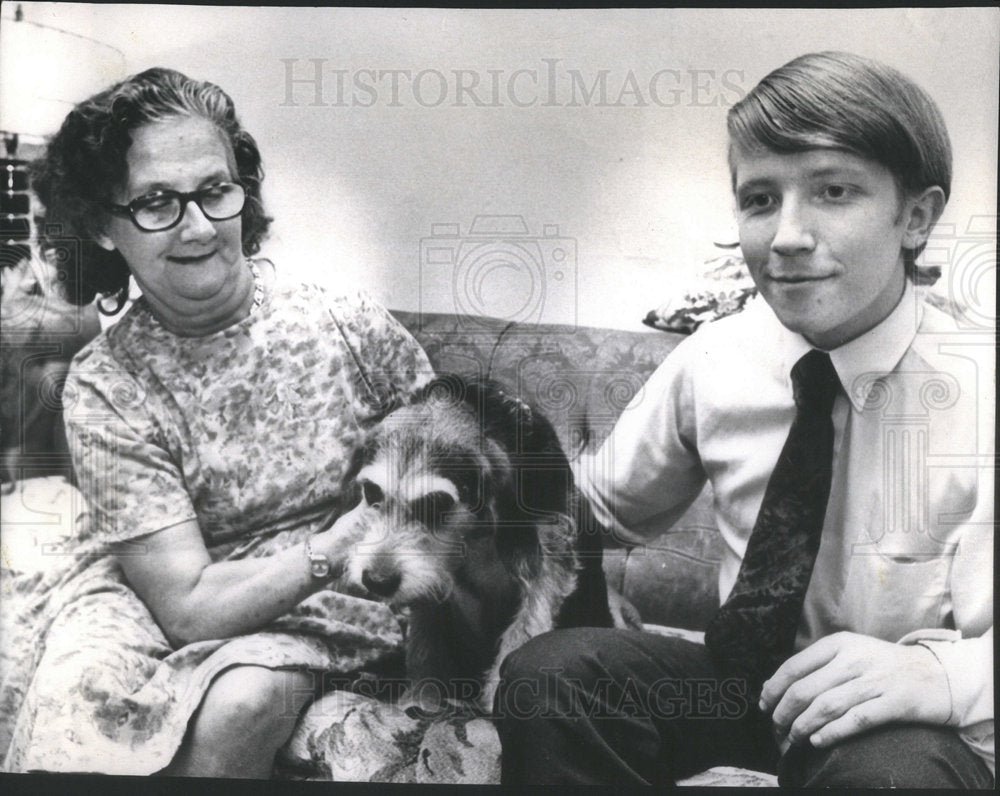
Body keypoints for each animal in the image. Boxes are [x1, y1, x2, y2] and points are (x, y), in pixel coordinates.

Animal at [338, 376, 632, 712]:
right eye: (371, 493)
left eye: (437, 504)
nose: (377, 581)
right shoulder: (428, 577)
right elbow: (424, 639)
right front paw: (421, 696)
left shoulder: (547, 561)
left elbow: (523, 630)